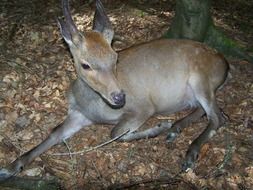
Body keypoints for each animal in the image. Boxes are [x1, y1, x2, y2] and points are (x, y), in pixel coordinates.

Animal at [0, 0, 229, 180]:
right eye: (86, 64)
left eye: (115, 57)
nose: (119, 97)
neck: (95, 107)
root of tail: (225, 63)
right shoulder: (78, 114)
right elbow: (54, 133)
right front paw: (10, 168)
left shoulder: (144, 107)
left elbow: (115, 133)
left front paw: (159, 127)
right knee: (204, 111)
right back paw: (176, 129)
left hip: (201, 78)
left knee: (218, 116)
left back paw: (188, 151)